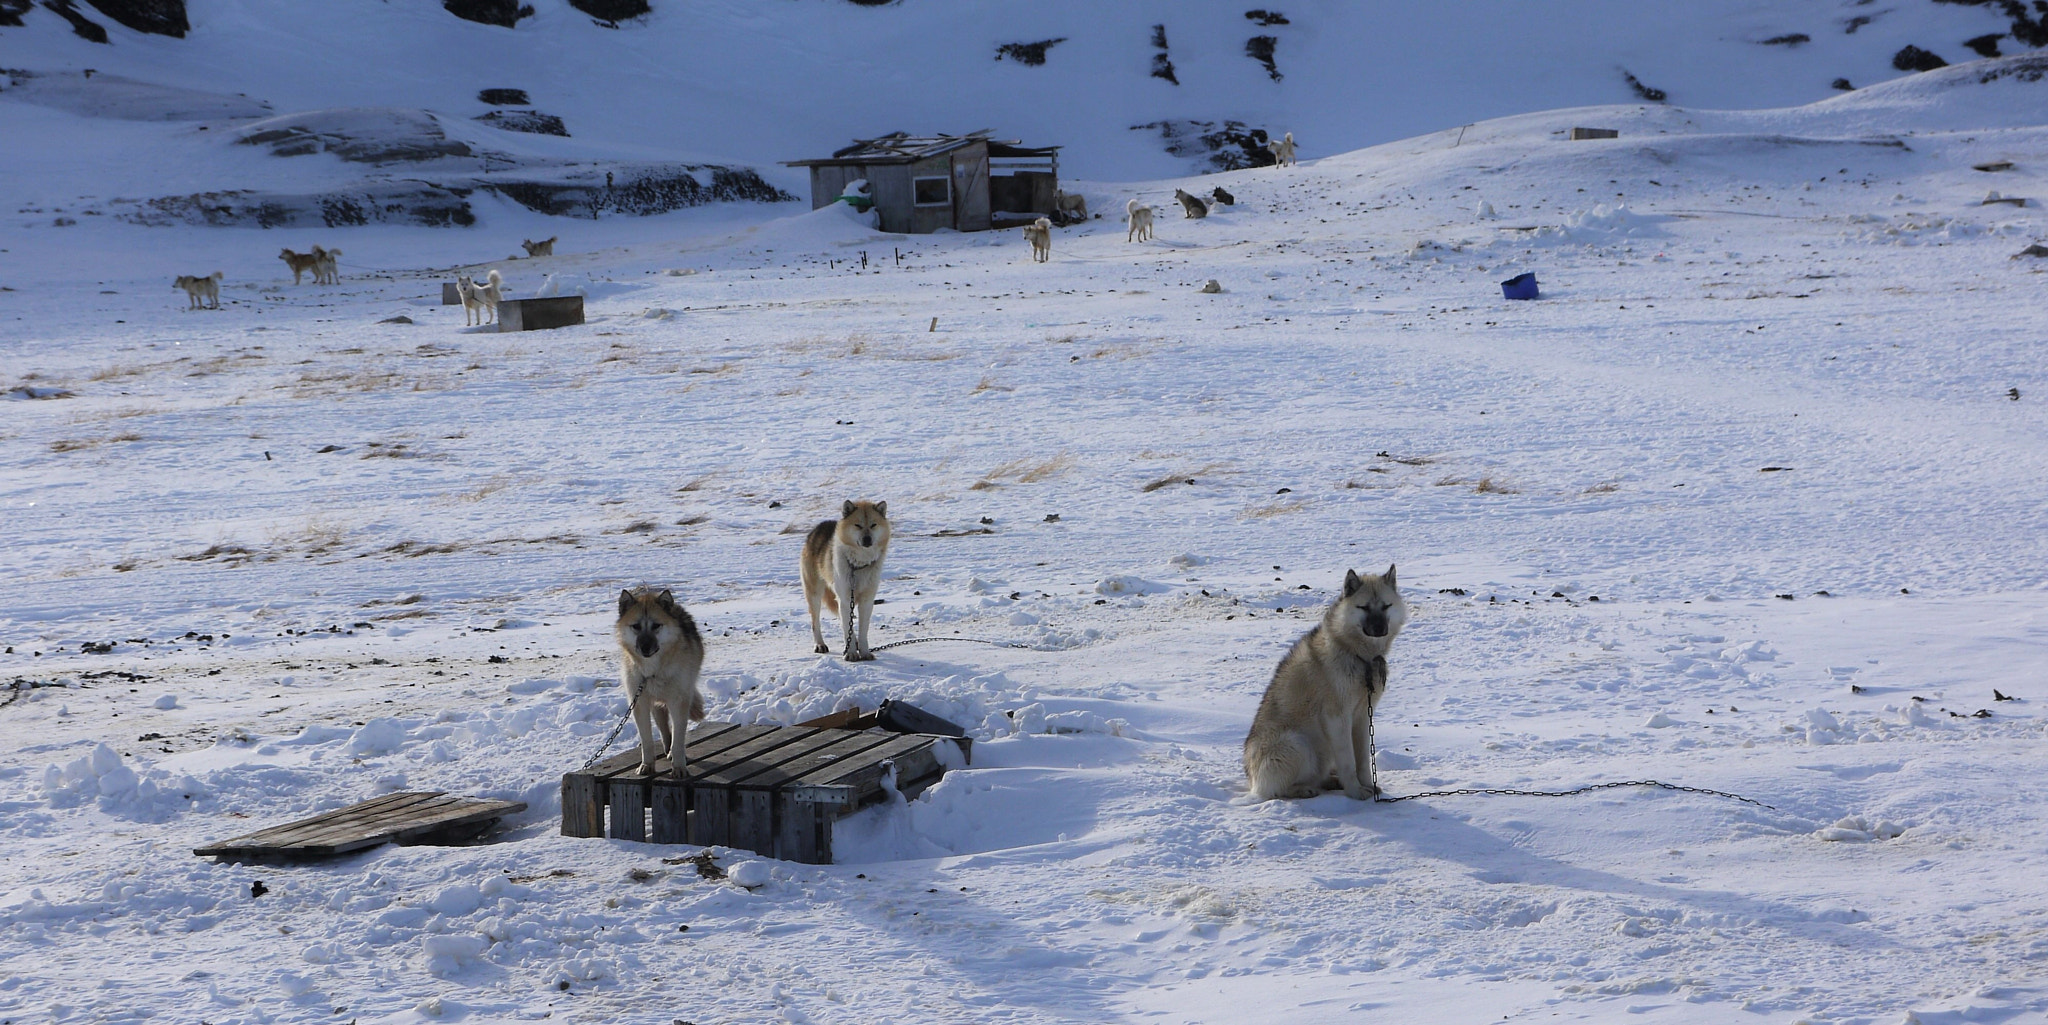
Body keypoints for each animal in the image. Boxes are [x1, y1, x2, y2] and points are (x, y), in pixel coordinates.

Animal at [614, 586, 712, 774]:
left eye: (656, 626)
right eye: (636, 626)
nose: (645, 647)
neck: (652, 672)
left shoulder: (679, 701)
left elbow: (678, 740)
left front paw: (679, 766)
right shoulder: (640, 703)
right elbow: (647, 741)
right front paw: (647, 765)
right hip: (656, 706)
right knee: (664, 730)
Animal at [802, 500, 892, 660]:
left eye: (873, 525)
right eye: (858, 525)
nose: (867, 539)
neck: (858, 565)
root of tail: (817, 528)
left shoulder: (866, 601)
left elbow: (863, 631)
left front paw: (864, 652)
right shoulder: (844, 599)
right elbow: (846, 628)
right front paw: (850, 653)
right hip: (815, 595)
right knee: (815, 622)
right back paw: (820, 644)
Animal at [1245, 569, 1409, 799]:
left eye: (1386, 606)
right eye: (1364, 607)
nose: (1379, 628)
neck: (1359, 656)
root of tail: (1251, 779)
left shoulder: (1362, 717)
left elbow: (1363, 761)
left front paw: (1368, 785)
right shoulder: (1338, 718)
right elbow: (1349, 762)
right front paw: (1355, 791)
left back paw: (1331, 781)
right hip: (1298, 744)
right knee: (1277, 790)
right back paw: (1304, 789)